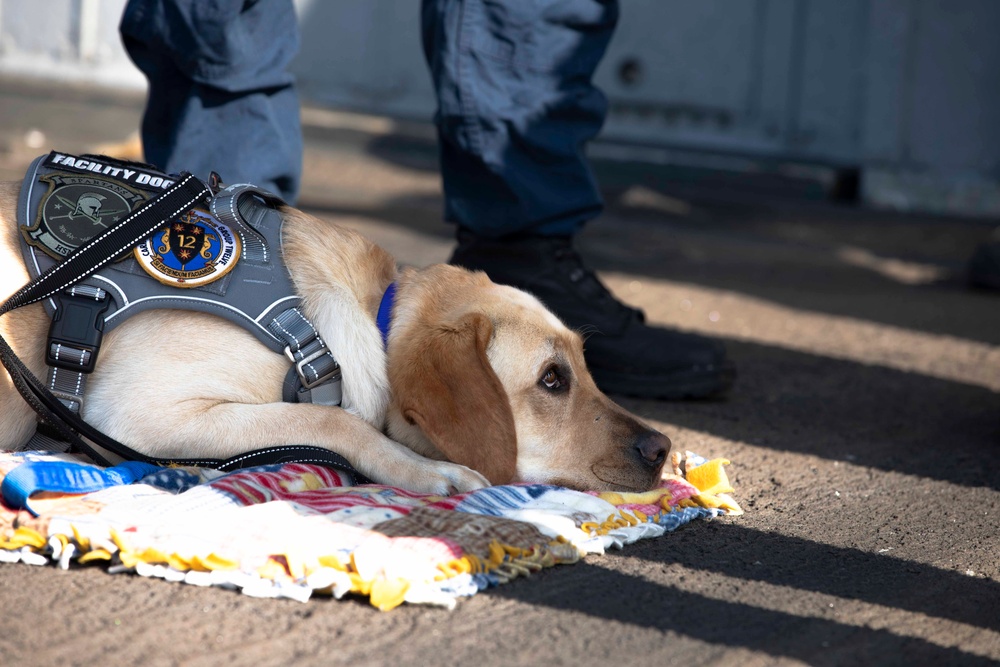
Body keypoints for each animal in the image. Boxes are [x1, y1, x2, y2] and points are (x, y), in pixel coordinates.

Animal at [3, 183, 672, 496]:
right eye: (552, 380)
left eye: (585, 367)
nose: (663, 447)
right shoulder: (136, 413)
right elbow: (338, 421)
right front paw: (425, 469)